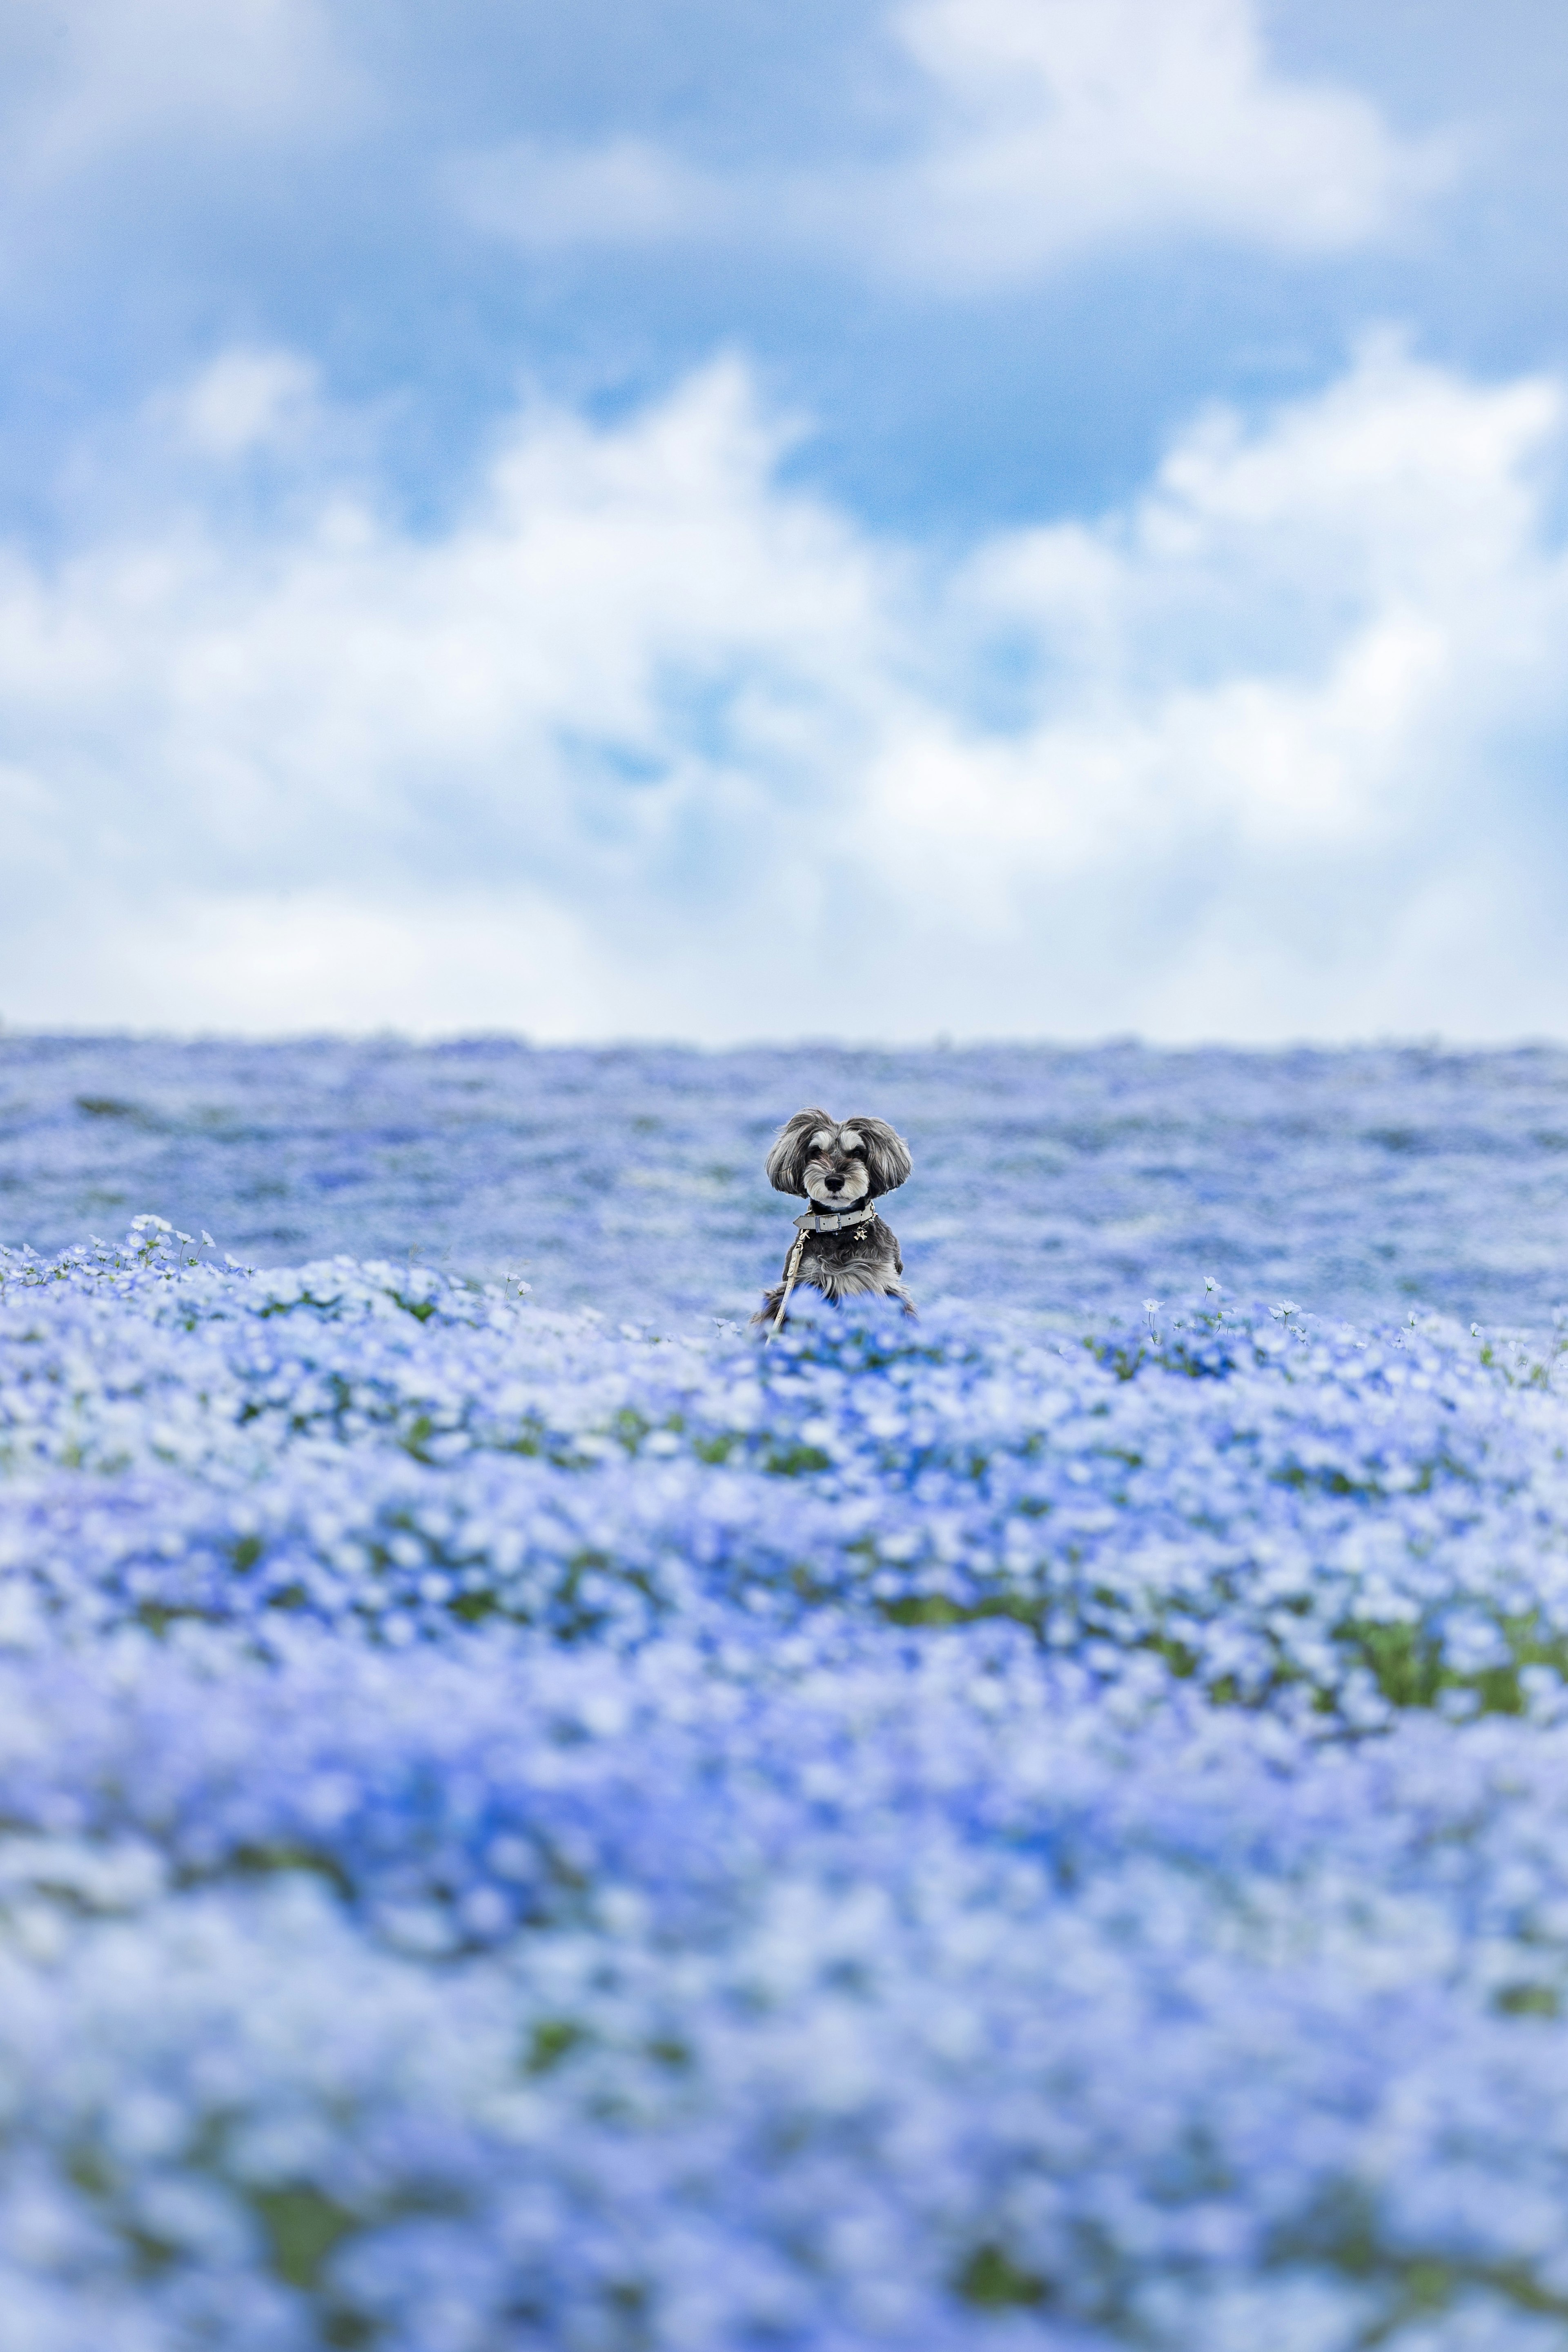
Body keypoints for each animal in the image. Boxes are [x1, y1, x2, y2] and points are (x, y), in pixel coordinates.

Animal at [752, 1100, 912, 1326]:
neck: (840, 1227)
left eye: (858, 1152)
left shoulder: (883, 1282)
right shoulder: (805, 1284)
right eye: (816, 1151)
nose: (834, 1181)